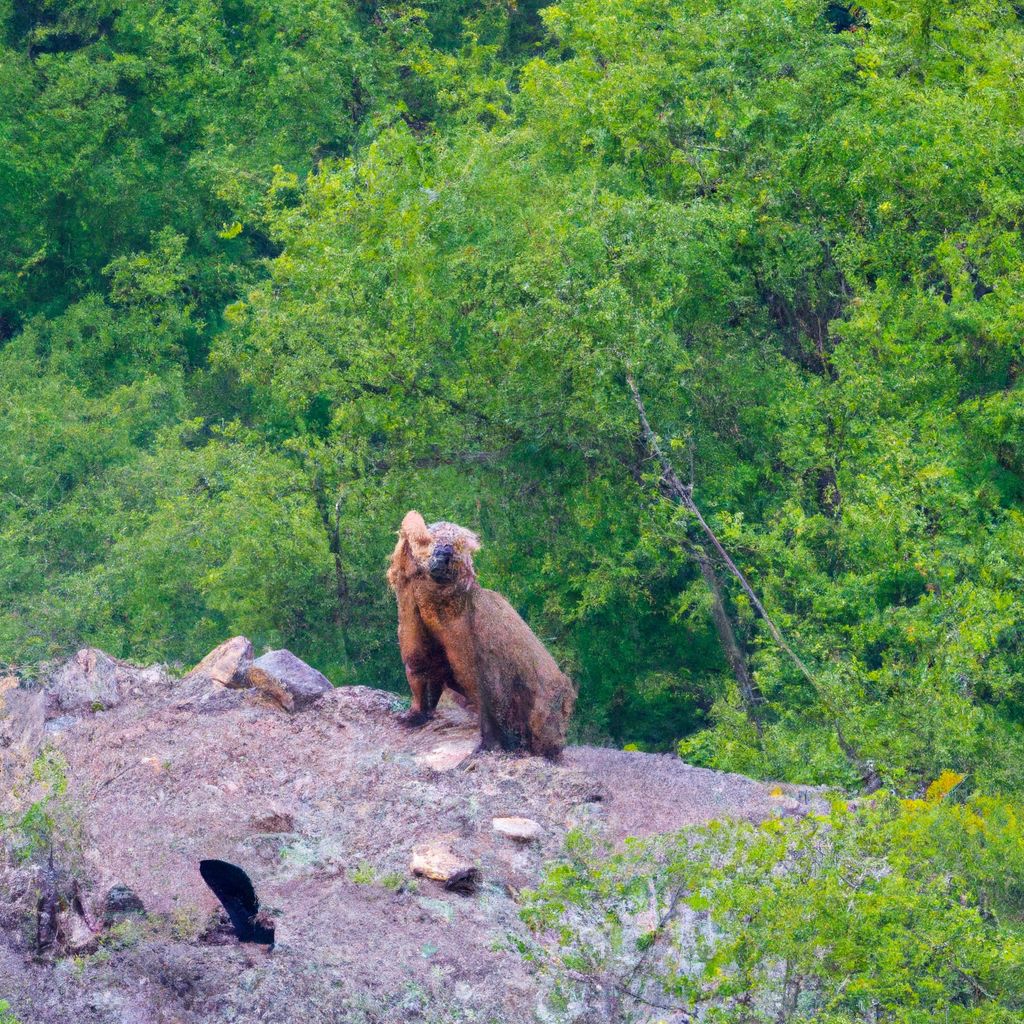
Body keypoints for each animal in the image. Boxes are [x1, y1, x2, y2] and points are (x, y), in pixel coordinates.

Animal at [385, 507, 577, 757]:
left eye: (457, 546)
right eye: (433, 539)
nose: (444, 553)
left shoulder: (473, 652)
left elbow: (483, 693)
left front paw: (491, 743)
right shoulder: (417, 633)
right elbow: (420, 670)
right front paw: (413, 716)